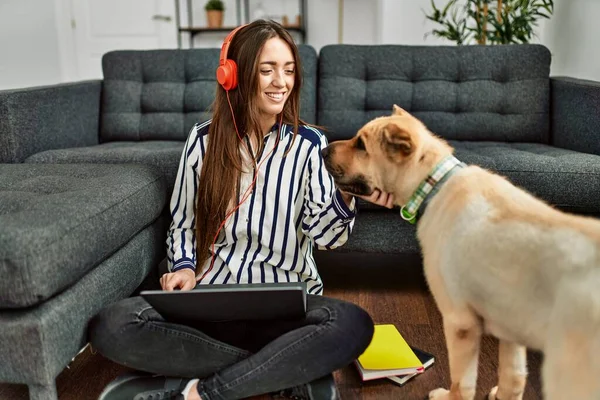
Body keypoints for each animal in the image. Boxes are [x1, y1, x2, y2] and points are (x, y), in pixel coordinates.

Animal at [326, 104, 600, 398]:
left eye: (361, 145)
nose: (323, 150)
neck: (434, 185)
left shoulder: (460, 322)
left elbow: (462, 383)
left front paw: (447, 395)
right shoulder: (510, 326)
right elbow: (513, 377)